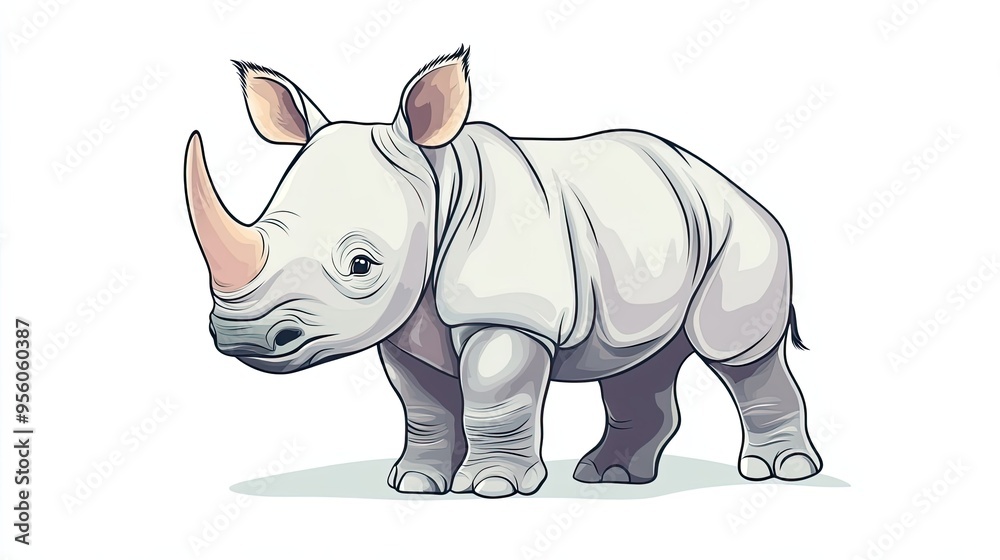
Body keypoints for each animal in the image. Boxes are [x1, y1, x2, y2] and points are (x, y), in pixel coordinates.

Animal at [184, 46, 822, 498]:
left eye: (361, 265)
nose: (241, 336)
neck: (439, 183)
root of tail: (723, 180)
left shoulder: (510, 312)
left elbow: (495, 393)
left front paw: (493, 487)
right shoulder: (406, 323)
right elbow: (423, 404)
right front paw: (415, 484)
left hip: (744, 231)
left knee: (736, 352)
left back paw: (782, 472)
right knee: (638, 359)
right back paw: (609, 477)